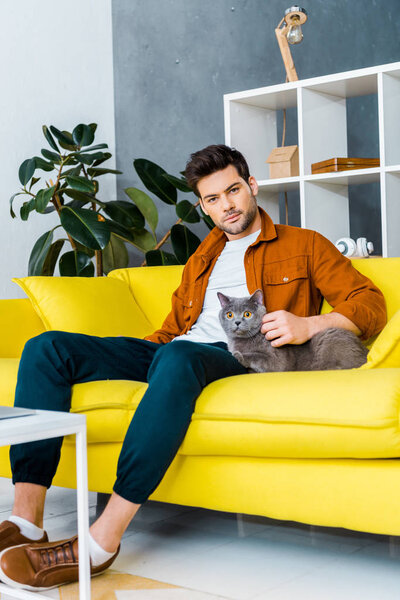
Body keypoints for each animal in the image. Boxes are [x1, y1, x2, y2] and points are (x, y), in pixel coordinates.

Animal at [219, 290, 368, 372]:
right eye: (229, 315)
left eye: (247, 314)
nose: (237, 322)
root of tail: (364, 349)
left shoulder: (277, 361)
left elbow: (257, 356)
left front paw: (238, 355)